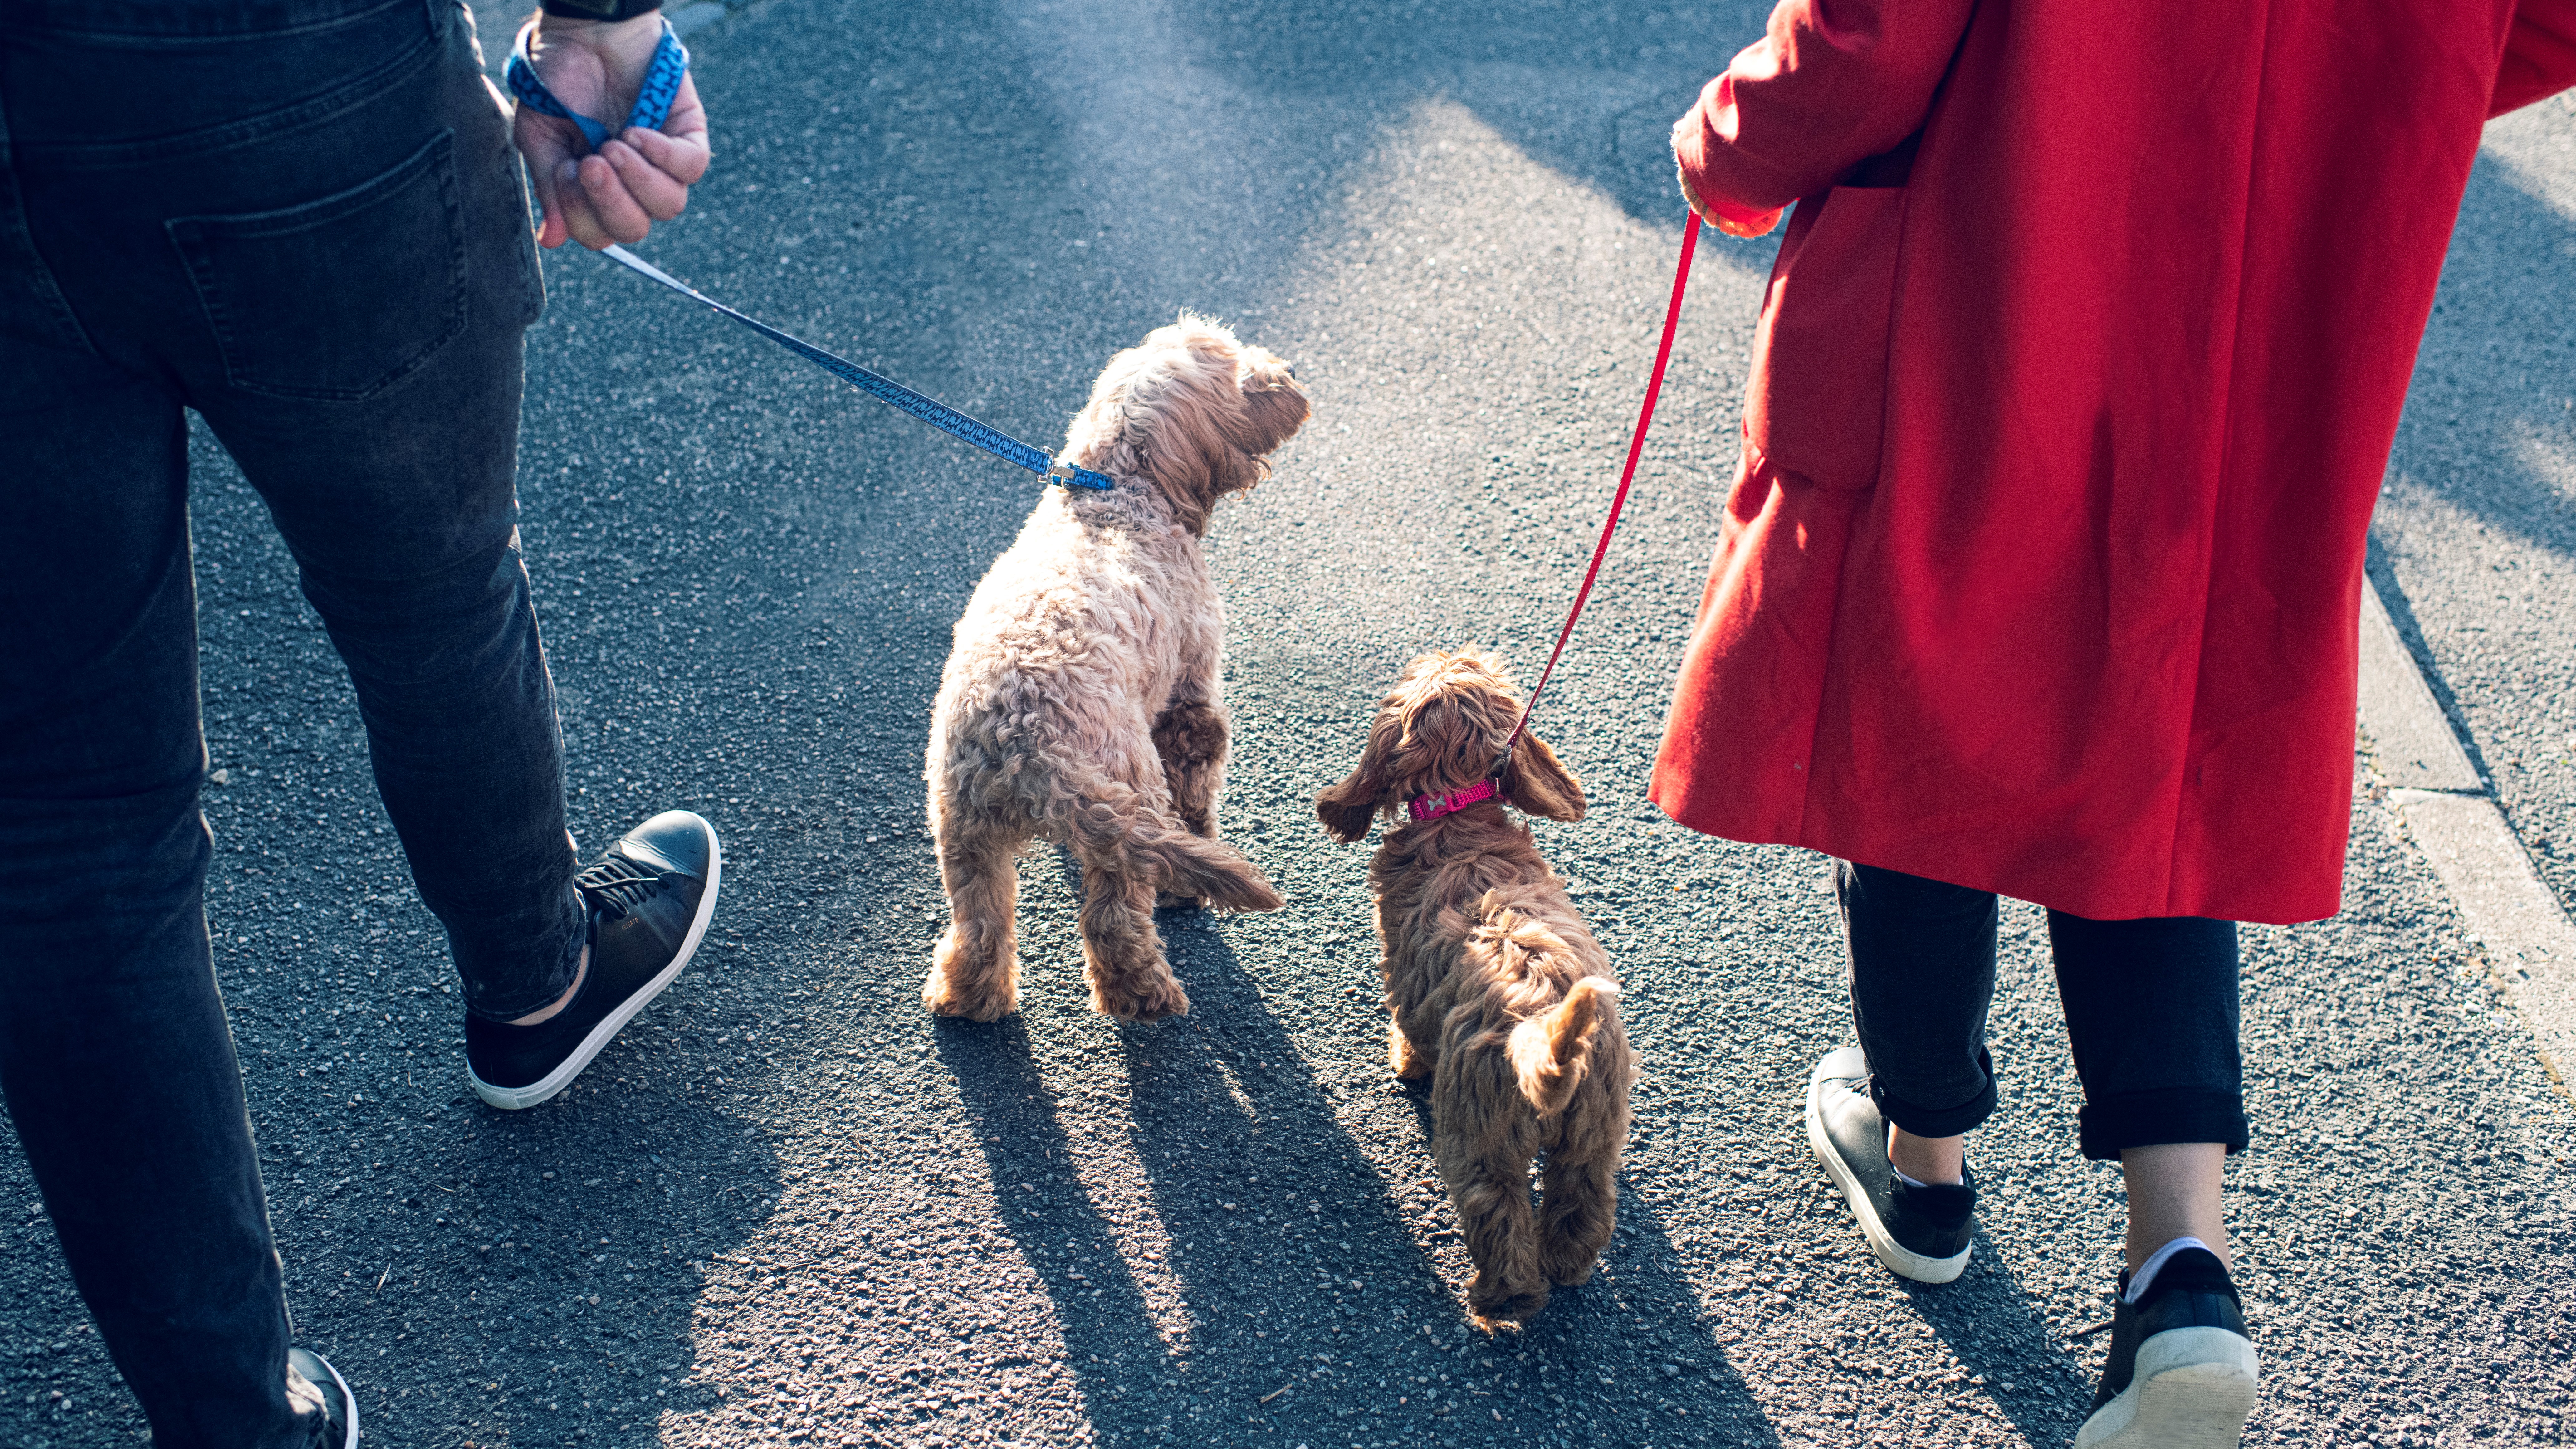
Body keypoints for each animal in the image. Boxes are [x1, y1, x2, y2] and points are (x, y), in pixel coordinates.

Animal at [922, 318, 1308, 1024]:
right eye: (1241, 375)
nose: (1289, 374)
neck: (1113, 492)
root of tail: (1026, 740)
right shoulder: (1191, 694)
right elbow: (1197, 784)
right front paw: (1195, 865)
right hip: (1130, 789)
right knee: (1113, 917)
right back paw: (1145, 992)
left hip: (964, 829)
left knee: (981, 923)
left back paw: (967, 997)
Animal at [1319, 651, 1638, 1318]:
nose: (1437, 654)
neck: (1456, 815)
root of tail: (1545, 1026)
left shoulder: (1402, 976)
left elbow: (1407, 1028)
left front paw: (1404, 1062)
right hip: (1596, 1131)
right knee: (1583, 1204)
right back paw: (1568, 1269)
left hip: (1478, 1133)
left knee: (1498, 1212)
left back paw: (1498, 1303)